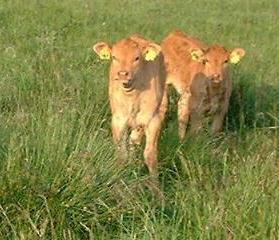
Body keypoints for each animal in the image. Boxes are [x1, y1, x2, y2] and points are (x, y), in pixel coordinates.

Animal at [94, 34, 167, 176]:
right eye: (114, 57)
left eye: (137, 58)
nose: (123, 74)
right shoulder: (118, 120)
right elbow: (121, 154)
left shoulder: (152, 120)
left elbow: (150, 155)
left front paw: (154, 181)